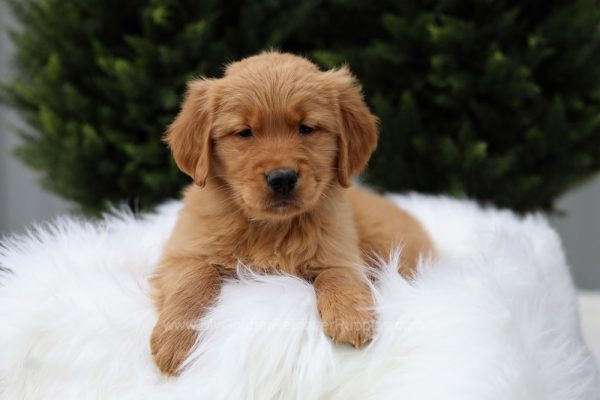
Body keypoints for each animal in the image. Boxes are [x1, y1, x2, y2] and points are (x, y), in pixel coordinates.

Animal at [149, 52, 432, 376]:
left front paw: (350, 316)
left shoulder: (340, 250)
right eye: (244, 133)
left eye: (306, 128)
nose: (282, 178)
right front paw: (175, 341)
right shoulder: (183, 253)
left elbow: (338, 274)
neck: (270, 228)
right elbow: (195, 277)